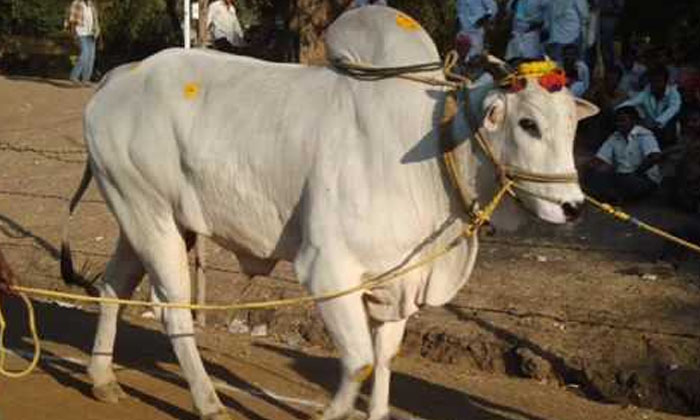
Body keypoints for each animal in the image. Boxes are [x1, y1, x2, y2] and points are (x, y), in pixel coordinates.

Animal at [61, 6, 596, 420]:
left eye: (571, 126)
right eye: (528, 123)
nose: (572, 207)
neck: (437, 149)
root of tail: (120, 77)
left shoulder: (396, 280)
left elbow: (384, 358)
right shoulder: (326, 269)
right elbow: (358, 361)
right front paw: (330, 411)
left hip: (146, 219)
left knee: (112, 288)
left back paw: (102, 378)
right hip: (149, 217)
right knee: (173, 311)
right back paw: (208, 402)